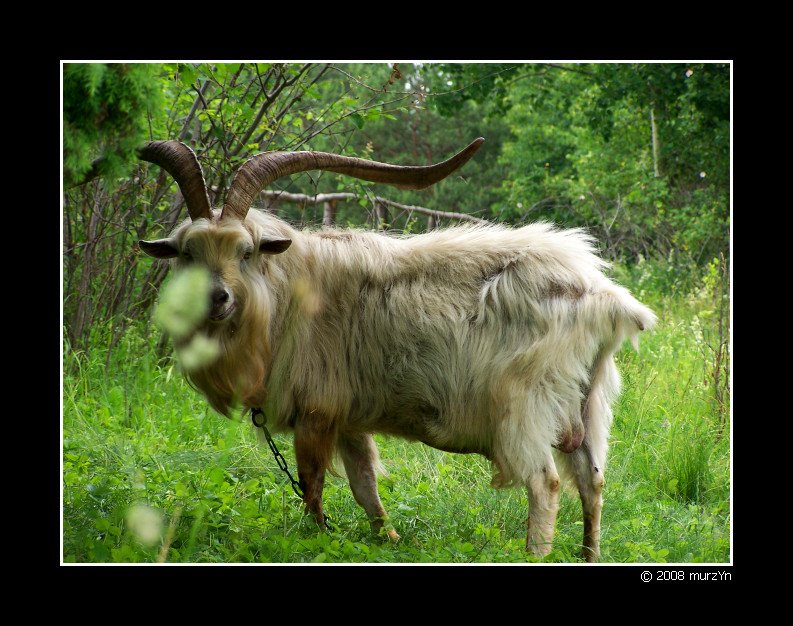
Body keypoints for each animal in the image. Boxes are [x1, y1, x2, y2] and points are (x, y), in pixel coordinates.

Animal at [138, 140, 656, 560]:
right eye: (187, 253)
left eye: (245, 251)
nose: (216, 298)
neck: (287, 291)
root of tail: (599, 295)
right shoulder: (347, 416)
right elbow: (365, 485)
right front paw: (386, 538)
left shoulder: (316, 410)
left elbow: (312, 485)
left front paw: (315, 539)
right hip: (589, 406)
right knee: (592, 482)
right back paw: (589, 554)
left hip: (526, 407)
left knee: (545, 483)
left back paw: (533, 554)